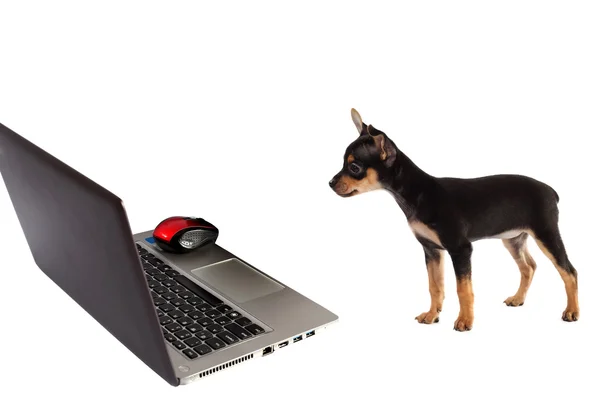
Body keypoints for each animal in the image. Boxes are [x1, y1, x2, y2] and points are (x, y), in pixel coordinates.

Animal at [330, 108, 580, 332]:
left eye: (354, 167)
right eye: (343, 163)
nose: (330, 183)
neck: (417, 194)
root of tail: (550, 191)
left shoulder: (460, 249)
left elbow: (463, 289)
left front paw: (465, 321)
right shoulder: (432, 250)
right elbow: (435, 286)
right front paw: (432, 315)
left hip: (546, 234)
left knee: (569, 271)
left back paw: (572, 311)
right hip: (513, 239)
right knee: (529, 267)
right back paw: (518, 298)